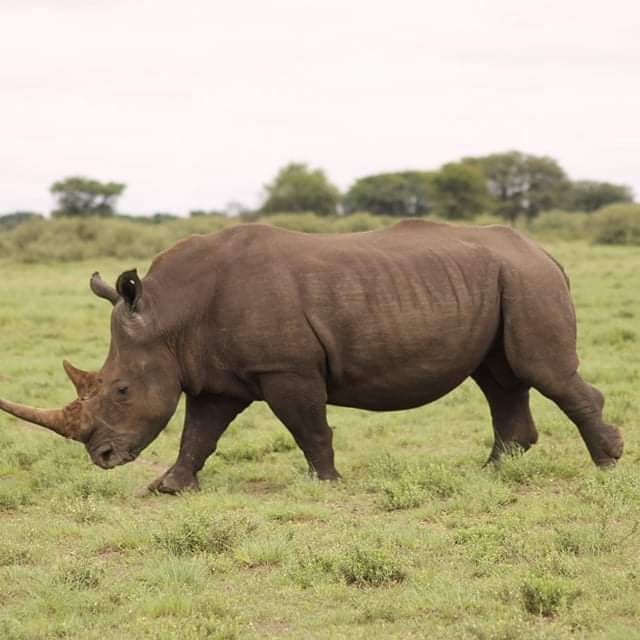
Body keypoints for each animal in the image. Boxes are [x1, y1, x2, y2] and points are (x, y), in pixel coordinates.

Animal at [0, 220, 623, 493]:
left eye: (122, 390)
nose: (102, 458)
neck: (169, 315)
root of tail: (545, 251)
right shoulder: (215, 373)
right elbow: (199, 432)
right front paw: (168, 488)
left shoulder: (285, 367)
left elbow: (308, 426)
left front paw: (326, 483)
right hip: (503, 281)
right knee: (499, 378)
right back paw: (491, 475)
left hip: (526, 280)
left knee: (541, 372)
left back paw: (607, 465)